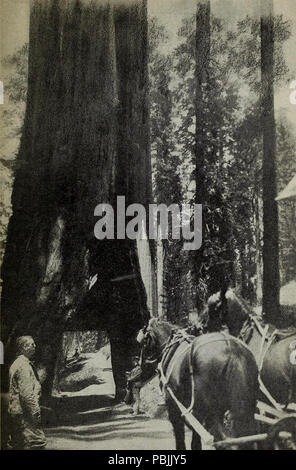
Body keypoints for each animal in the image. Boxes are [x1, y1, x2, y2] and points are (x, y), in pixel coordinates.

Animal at [135, 318, 258, 450]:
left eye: (144, 342)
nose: (140, 363)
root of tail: (232, 350)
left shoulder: (173, 407)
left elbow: (182, 438)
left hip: (205, 409)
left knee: (216, 437)